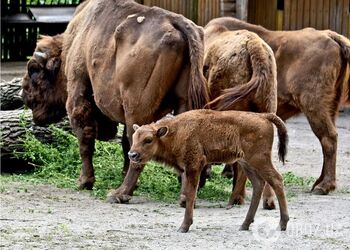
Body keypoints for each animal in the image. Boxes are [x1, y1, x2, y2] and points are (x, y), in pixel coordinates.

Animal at [21, 0, 208, 201]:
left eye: (34, 70)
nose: (23, 95)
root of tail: (176, 22)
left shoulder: (78, 95)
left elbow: (85, 138)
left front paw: (85, 182)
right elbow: (125, 145)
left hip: (136, 110)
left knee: (139, 149)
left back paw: (120, 194)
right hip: (182, 103)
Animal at [129, 109, 290, 232]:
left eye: (148, 140)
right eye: (134, 137)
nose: (132, 155)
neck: (176, 131)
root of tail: (263, 116)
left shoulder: (194, 166)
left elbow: (190, 194)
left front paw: (184, 226)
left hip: (259, 160)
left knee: (276, 180)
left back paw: (282, 224)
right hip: (246, 163)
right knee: (258, 184)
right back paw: (244, 225)